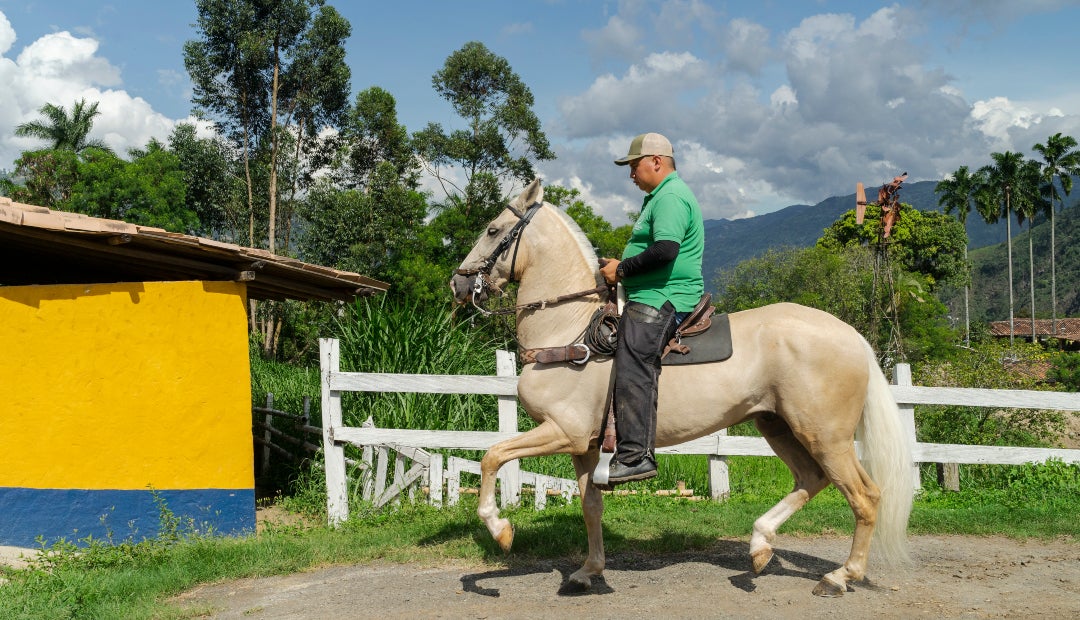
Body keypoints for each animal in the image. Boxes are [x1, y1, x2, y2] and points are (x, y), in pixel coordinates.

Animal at [447, 178, 911, 596]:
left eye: (492, 230)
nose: (459, 284)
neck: (570, 330)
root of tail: (851, 335)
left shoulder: (563, 432)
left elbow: (492, 456)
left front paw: (499, 529)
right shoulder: (584, 447)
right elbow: (591, 506)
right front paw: (588, 571)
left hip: (825, 435)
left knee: (865, 496)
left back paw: (840, 576)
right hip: (778, 426)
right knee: (811, 480)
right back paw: (760, 546)